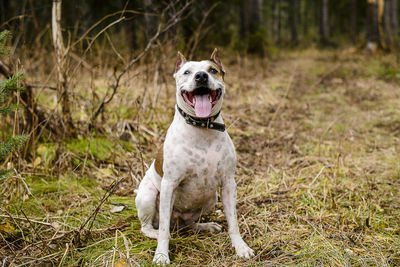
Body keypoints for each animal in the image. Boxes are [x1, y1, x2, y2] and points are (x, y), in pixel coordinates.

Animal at [134, 49, 253, 264]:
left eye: (212, 70)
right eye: (187, 72)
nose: (201, 76)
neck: (201, 126)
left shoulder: (228, 183)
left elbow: (233, 221)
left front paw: (240, 247)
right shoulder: (169, 184)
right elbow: (163, 230)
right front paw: (161, 254)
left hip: (211, 198)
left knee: (187, 224)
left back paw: (204, 226)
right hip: (148, 194)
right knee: (151, 227)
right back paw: (155, 233)